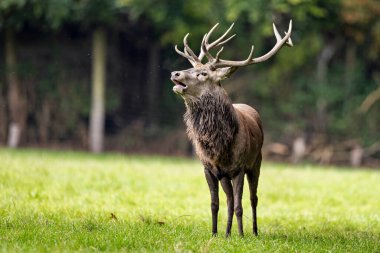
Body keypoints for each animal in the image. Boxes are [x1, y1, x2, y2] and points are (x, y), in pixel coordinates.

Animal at [171, 20, 292, 237]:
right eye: (190, 68)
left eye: (203, 73)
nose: (175, 73)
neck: (219, 146)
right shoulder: (209, 169)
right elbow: (215, 204)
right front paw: (214, 234)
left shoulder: (239, 168)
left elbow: (239, 205)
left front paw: (242, 235)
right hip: (225, 175)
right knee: (228, 200)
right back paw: (227, 233)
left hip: (256, 162)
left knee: (253, 198)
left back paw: (254, 231)